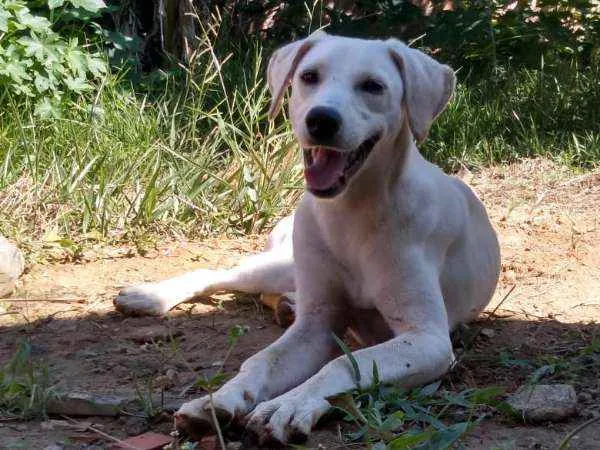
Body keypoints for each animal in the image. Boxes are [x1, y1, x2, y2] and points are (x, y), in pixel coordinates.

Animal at [115, 30, 500, 442]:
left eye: (373, 86)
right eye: (309, 77)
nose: (321, 119)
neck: (350, 214)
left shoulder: (427, 339)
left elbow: (347, 363)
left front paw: (289, 404)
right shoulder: (316, 327)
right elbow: (262, 360)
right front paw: (218, 399)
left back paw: (287, 304)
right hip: (281, 264)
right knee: (215, 274)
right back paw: (149, 296)